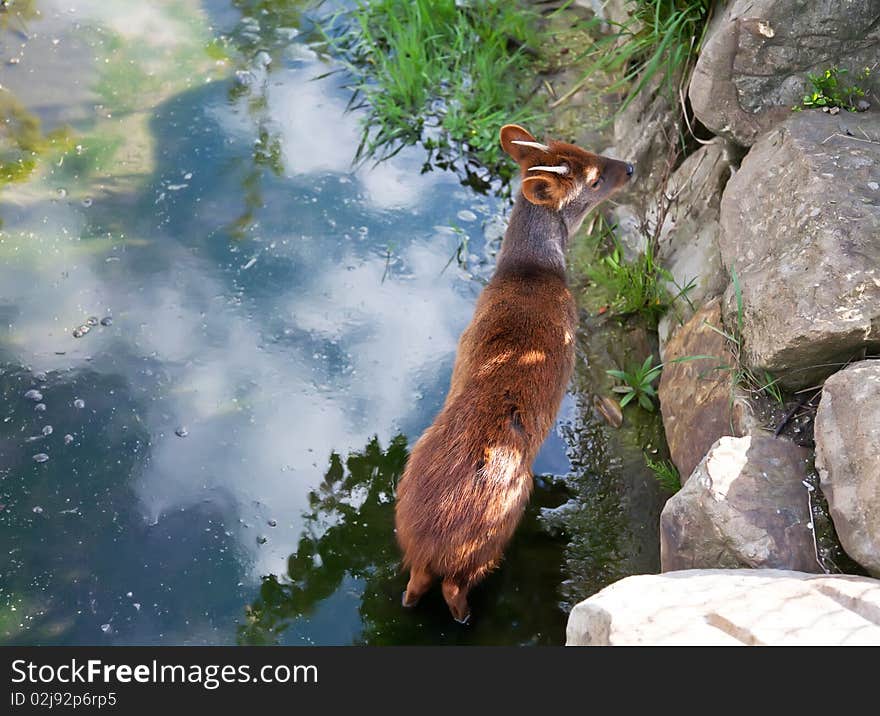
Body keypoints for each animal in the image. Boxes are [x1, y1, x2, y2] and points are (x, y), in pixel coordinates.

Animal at [394, 126, 632, 624]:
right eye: (595, 179)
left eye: (583, 150)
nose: (631, 167)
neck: (529, 271)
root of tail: (429, 546)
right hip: (502, 520)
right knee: (455, 587)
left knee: (413, 587)